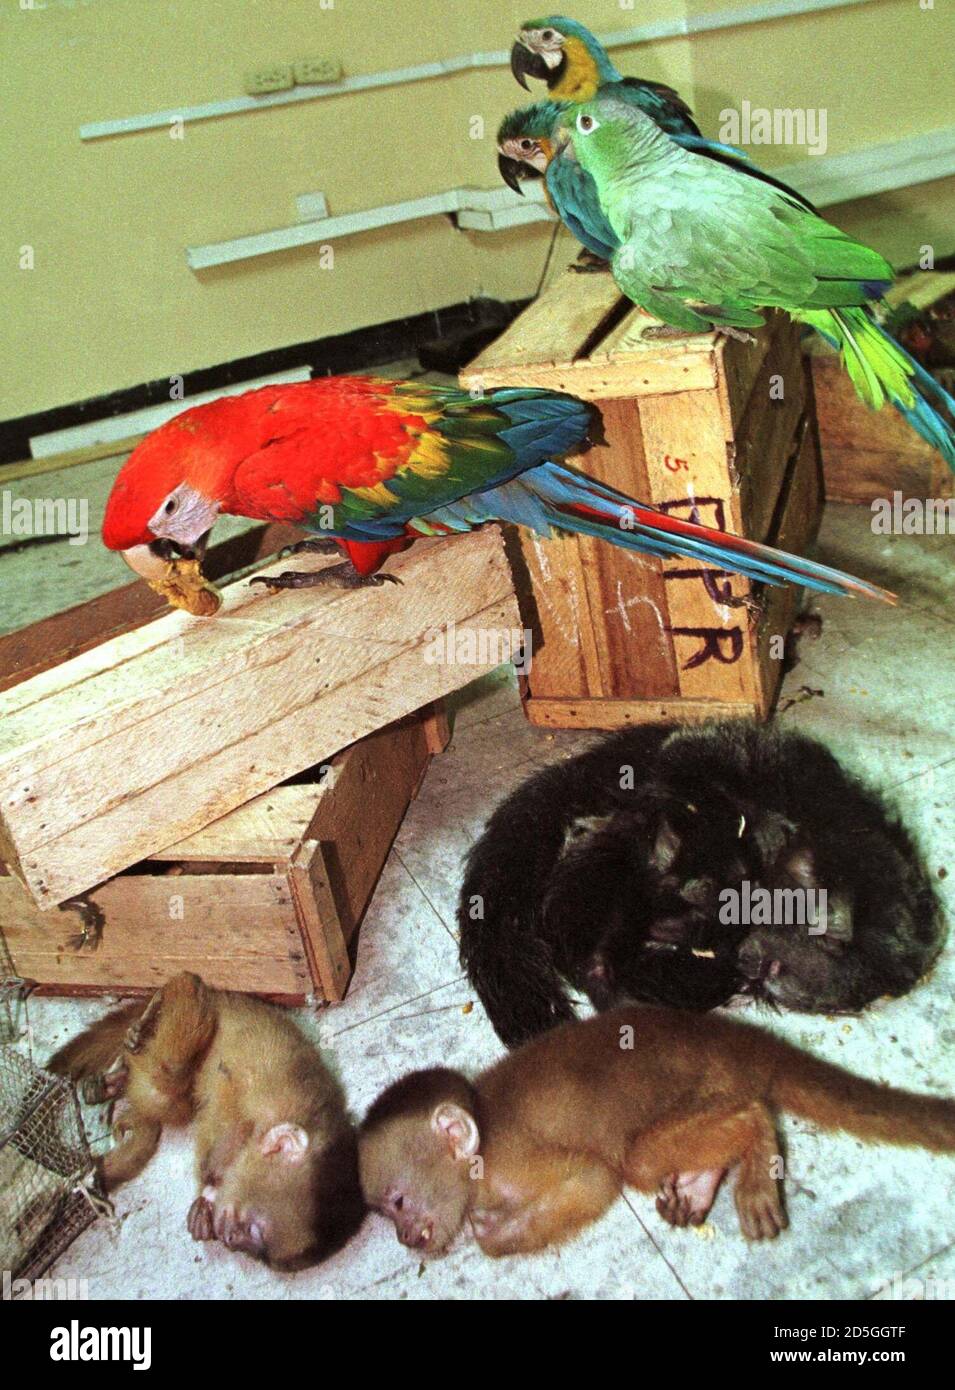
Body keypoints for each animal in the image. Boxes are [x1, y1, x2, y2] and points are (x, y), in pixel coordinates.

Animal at [50, 978, 366, 1273]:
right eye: (252, 1229)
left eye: (258, 1249)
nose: (231, 1240)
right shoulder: (273, 1096)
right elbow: (224, 1119)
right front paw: (210, 1182)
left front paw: (206, 1205)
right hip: (205, 1004)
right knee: (185, 1009)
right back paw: (148, 1023)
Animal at [358, 1000, 955, 1262]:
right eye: (385, 1214)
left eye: (399, 1202)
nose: (404, 1237)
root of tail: (732, 1034)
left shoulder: (507, 1164)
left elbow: (595, 1178)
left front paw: (492, 1234)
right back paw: (703, 1181)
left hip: (710, 1080)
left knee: (649, 1154)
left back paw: (755, 1137)